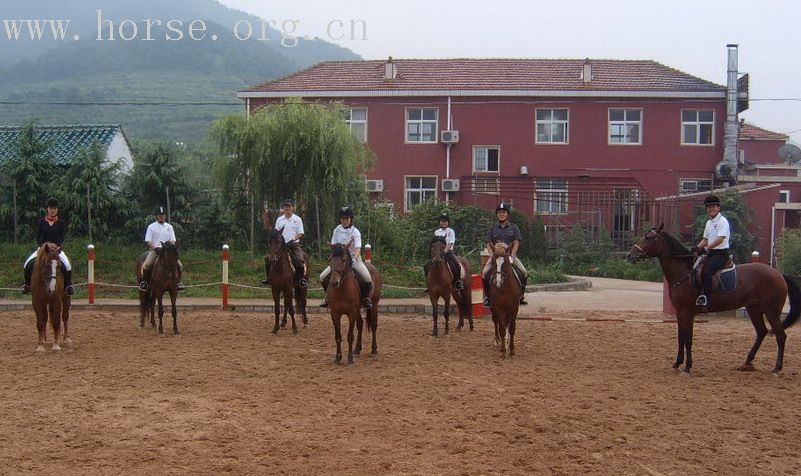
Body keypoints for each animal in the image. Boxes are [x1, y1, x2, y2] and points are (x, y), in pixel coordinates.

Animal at [628, 225, 796, 374]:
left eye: (649, 238)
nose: (630, 255)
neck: (685, 274)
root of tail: (779, 274)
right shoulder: (680, 312)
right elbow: (681, 338)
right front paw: (677, 363)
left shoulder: (688, 312)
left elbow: (688, 339)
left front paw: (687, 367)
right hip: (754, 309)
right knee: (761, 332)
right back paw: (747, 362)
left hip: (771, 311)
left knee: (780, 336)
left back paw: (776, 368)